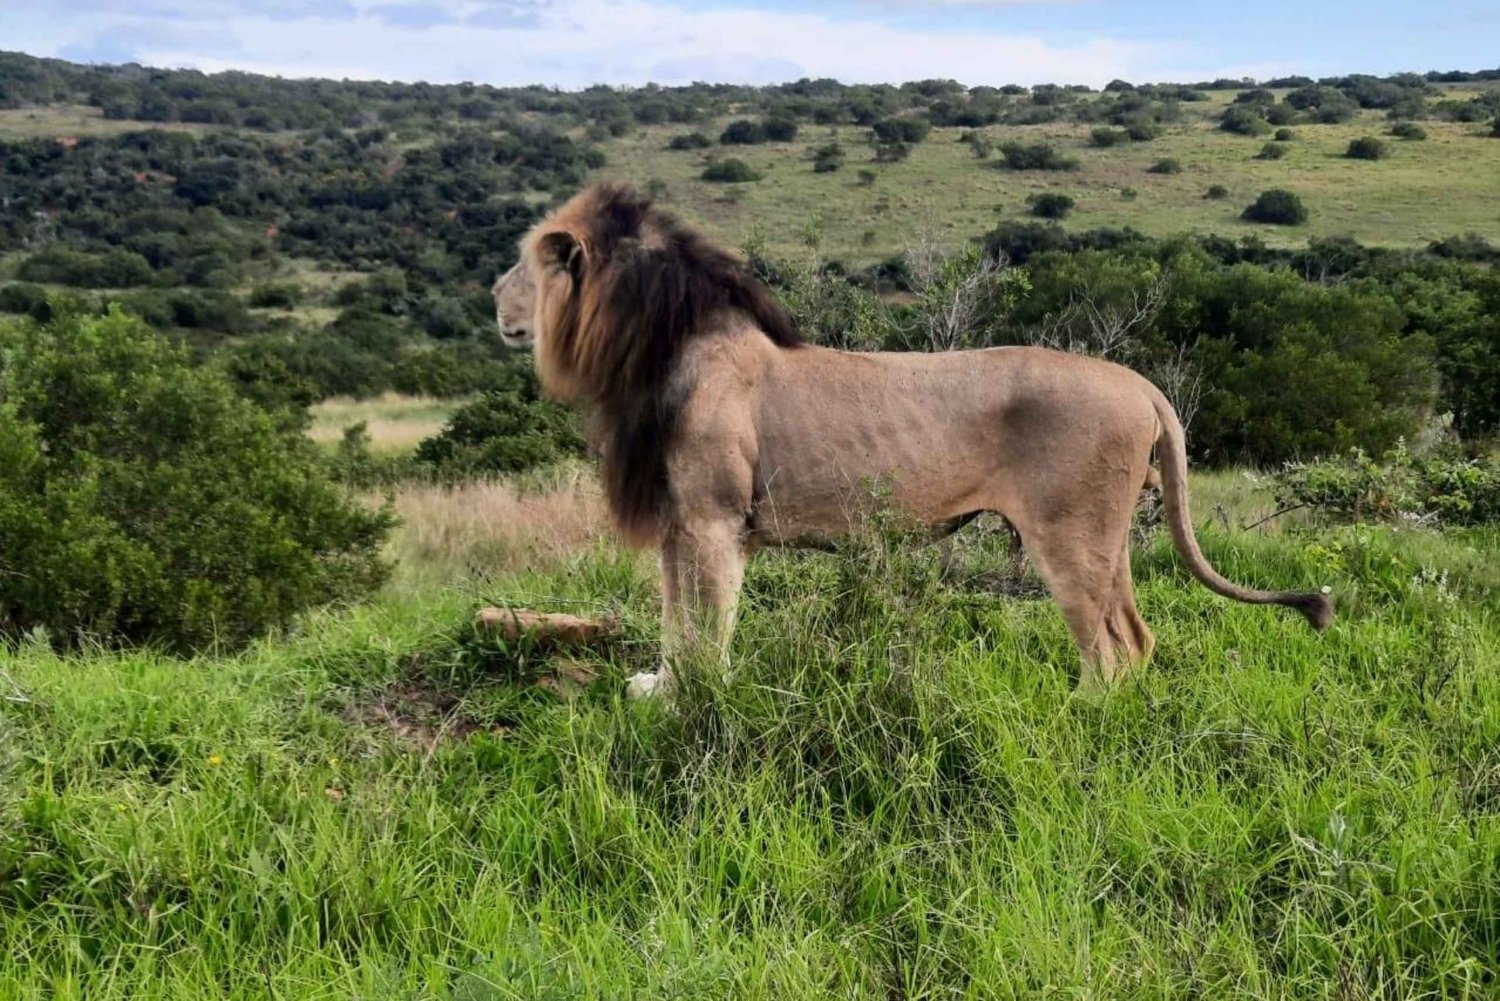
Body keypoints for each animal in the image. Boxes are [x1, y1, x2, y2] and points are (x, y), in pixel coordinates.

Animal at [495, 182, 1338, 696]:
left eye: (524, 263)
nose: (489, 295)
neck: (648, 354)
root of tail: (1139, 382)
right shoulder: (679, 523)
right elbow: (675, 623)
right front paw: (661, 691)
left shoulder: (712, 521)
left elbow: (705, 628)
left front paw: (696, 706)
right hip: (1110, 535)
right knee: (1135, 635)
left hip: (1069, 533)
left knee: (1106, 648)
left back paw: (1076, 717)